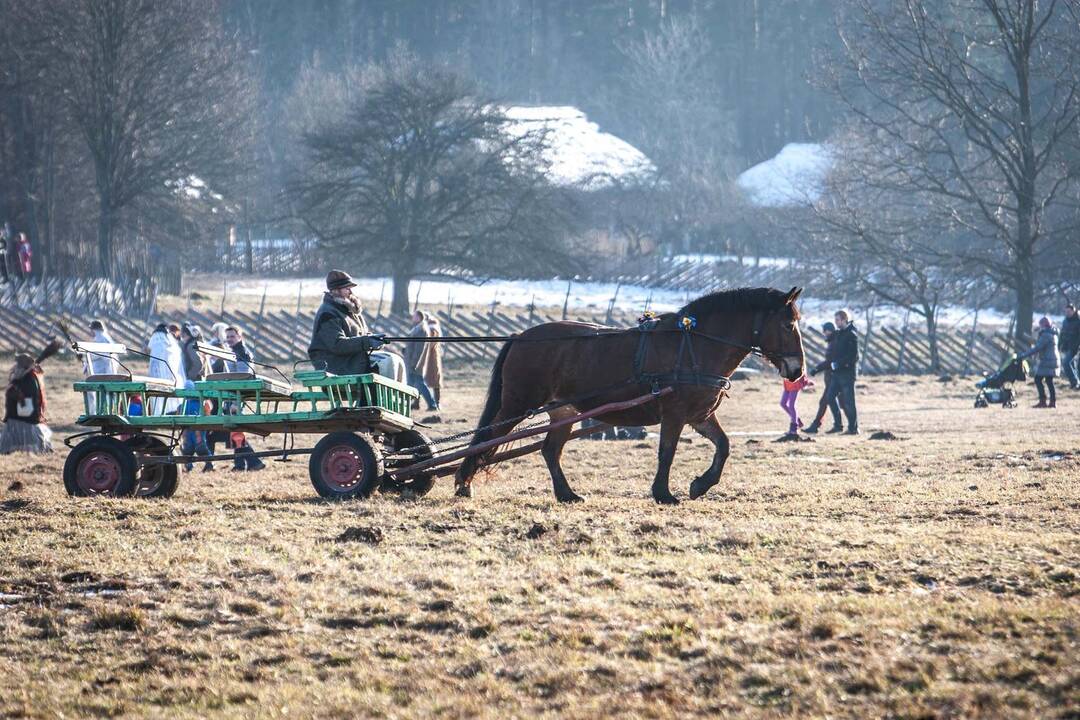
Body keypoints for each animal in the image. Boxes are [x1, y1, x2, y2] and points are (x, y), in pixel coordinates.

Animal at [451, 284, 807, 505]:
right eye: (788, 324)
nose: (797, 371)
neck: (694, 344)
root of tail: (521, 336)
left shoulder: (699, 415)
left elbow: (724, 446)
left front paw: (700, 485)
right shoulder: (675, 414)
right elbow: (667, 452)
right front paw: (663, 493)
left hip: (563, 410)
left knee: (550, 451)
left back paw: (566, 494)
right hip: (518, 403)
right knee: (486, 438)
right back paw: (463, 484)